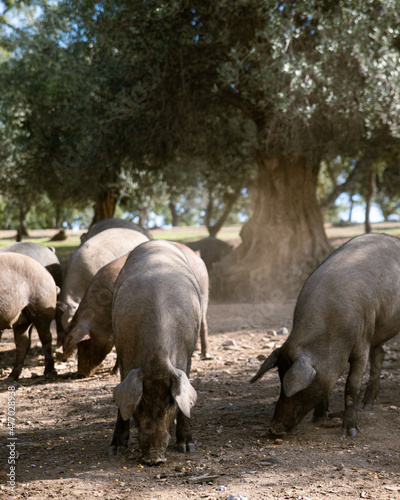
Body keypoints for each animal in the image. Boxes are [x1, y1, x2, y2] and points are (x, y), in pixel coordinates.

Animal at [62, 241, 211, 376]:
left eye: (85, 343)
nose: (80, 374)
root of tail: (196, 255)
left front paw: (113, 372)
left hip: (204, 294)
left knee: (203, 324)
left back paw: (206, 355)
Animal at [109, 241, 202, 464]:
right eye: (140, 403)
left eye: (170, 403)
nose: (154, 459)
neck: (156, 357)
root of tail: (158, 241)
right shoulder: (124, 355)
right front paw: (115, 450)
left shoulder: (186, 359)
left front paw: (188, 447)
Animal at [252, 234, 400, 438]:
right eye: (280, 377)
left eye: (299, 388)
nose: (273, 429)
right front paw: (318, 420)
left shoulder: (362, 343)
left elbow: (351, 385)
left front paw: (350, 433)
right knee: (379, 354)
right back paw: (367, 406)